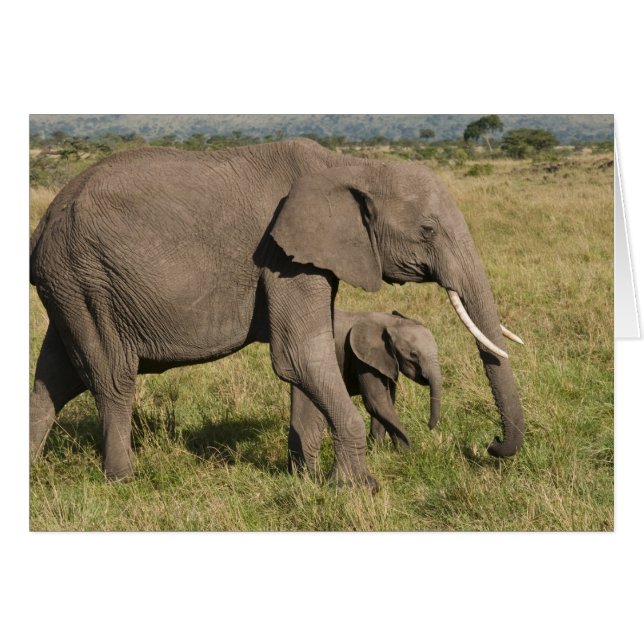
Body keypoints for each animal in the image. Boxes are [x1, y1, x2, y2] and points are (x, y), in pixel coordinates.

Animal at [288, 309, 442, 475]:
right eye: (413, 354)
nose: (428, 426)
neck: (390, 322)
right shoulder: (362, 358)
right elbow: (376, 402)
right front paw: (410, 453)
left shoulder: (385, 361)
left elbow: (386, 402)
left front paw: (375, 451)